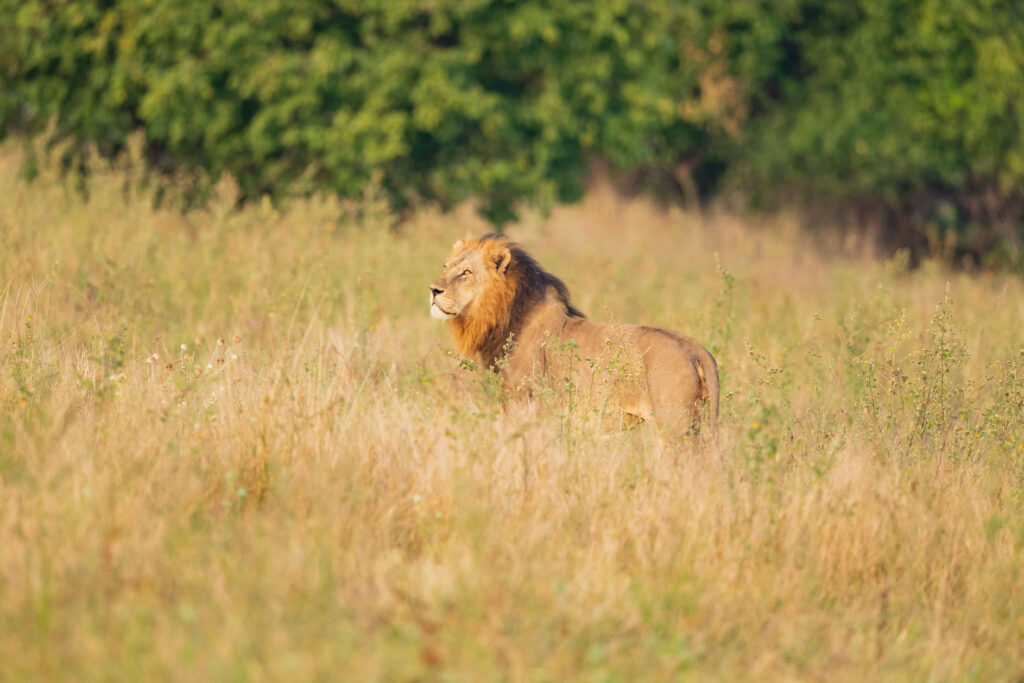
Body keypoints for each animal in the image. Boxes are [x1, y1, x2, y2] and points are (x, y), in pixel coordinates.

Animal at [429, 233, 719, 436]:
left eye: (466, 273)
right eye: (445, 266)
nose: (433, 289)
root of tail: (695, 348)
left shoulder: (523, 406)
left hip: (675, 425)